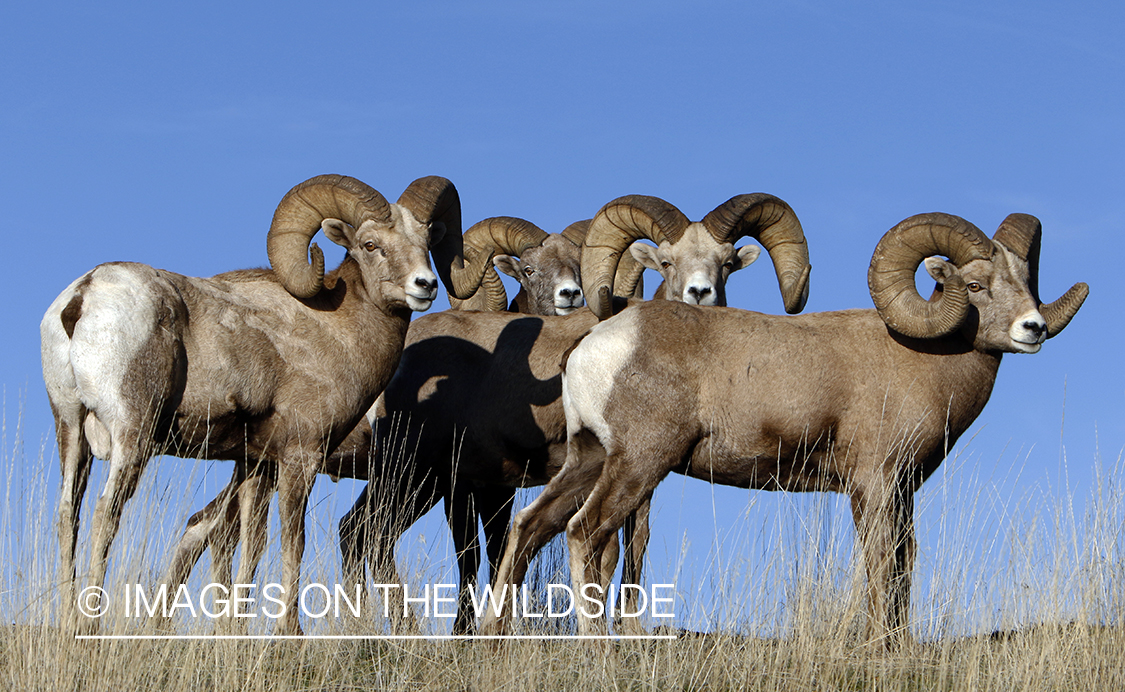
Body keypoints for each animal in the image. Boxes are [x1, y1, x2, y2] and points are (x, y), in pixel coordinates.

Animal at [39, 173, 477, 634]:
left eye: (426, 241)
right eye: (371, 244)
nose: (424, 285)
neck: (337, 329)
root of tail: (83, 297)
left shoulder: (256, 463)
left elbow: (253, 541)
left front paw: (239, 629)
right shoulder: (300, 456)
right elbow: (292, 540)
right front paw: (289, 631)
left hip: (71, 431)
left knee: (69, 514)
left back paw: (68, 620)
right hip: (132, 436)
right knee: (106, 512)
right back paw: (89, 624)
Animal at [337, 192, 814, 630]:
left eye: (727, 262)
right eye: (667, 261)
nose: (700, 293)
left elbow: (634, 545)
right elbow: (604, 554)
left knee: (362, 537)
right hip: (414, 475)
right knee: (367, 536)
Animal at [488, 212, 1084, 643]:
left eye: (1025, 281)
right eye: (976, 285)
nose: (1033, 328)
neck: (924, 359)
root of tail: (593, 345)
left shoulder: (901, 493)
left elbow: (904, 566)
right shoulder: (874, 486)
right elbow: (879, 565)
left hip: (587, 460)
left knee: (528, 528)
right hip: (637, 465)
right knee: (585, 533)